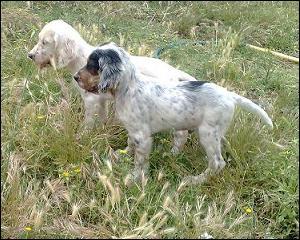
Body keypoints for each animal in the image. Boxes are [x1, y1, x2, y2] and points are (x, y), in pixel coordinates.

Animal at [74, 43, 274, 186]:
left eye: (91, 65)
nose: (75, 77)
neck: (129, 88)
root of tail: (229, 94)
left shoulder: (143, 136)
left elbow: (140, 161)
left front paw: (134, 177)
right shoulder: (134, 131)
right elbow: (130, 145)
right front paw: (121, 155)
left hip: (208, 133)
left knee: (217, 163)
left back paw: (194, 181)